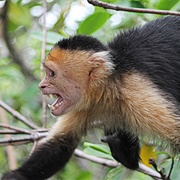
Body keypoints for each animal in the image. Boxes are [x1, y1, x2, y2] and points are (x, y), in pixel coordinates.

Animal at [2, 16, 180, 179]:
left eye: (51, 74)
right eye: (46, 73)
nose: (41, 86)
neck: (109, 85)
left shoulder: (138, 92)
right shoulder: (83, 104)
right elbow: (60, 144)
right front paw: (14, 176)